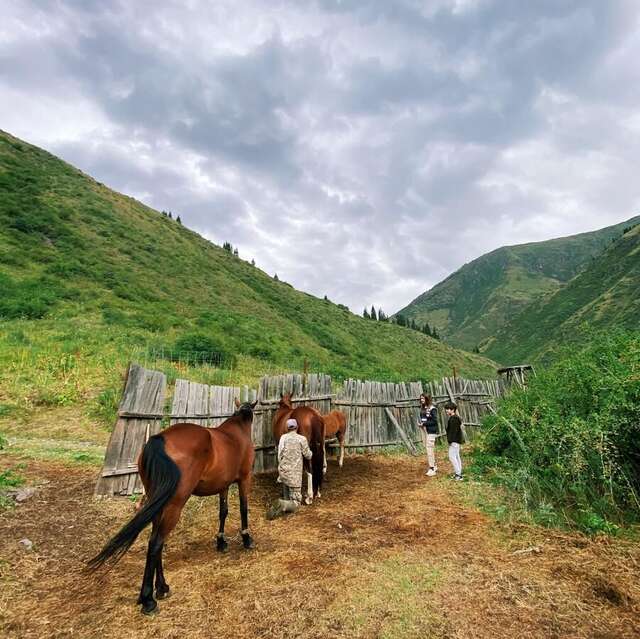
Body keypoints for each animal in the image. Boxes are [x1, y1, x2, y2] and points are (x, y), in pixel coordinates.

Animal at [87, 400, 258, 616]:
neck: (237, 432)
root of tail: (160, 439)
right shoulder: (244, 479)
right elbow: (243, 508)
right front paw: (246, 538)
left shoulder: (224, 485)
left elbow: (223, 512)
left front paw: (221, 542)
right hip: (174, 505)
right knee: (156, 543)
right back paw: (148, 600)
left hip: (159, 504)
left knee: (156, 540)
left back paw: (161, 587)